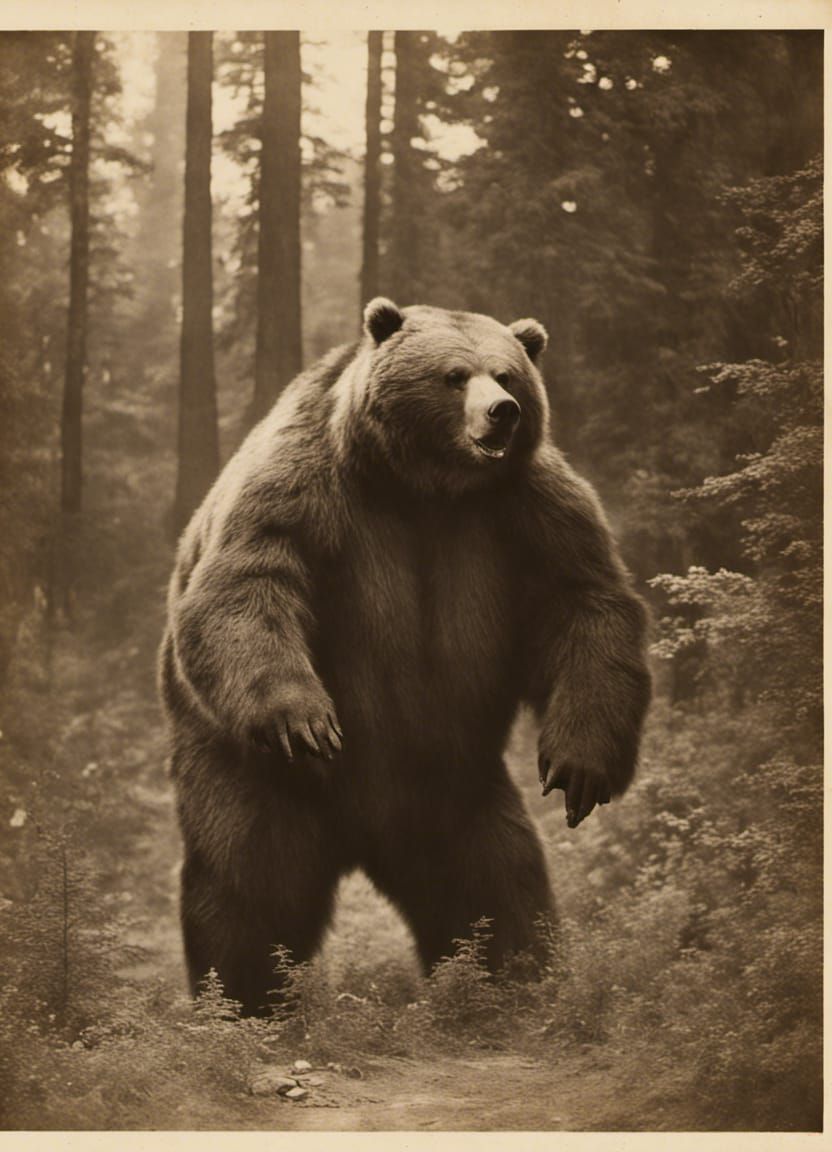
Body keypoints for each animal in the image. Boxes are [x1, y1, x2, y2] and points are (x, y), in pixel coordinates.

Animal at [159, 298, 651, 1017]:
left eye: (508, 373)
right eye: (454, 375)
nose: (502, 411)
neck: (423, 486)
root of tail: (368, 835)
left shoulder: (528, 509)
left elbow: (584, 603)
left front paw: (579, 768)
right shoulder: (307, 488)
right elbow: (250, 580)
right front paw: (304, 719)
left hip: (456, 786)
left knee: (495, 881)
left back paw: (517, 985)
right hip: (250, 767)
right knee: (249, 880)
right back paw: (243, 1005)